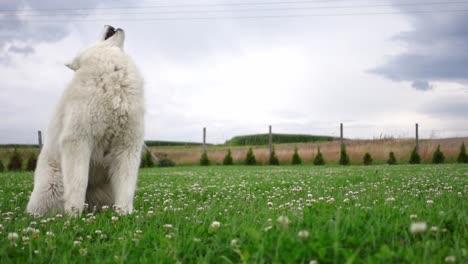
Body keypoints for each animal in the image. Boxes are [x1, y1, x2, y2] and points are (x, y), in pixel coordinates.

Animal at [27, 24, 144, 216]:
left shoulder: (127, 146)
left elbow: (126, 187)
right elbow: (78, 183)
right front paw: (74, 216)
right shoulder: (78, 141)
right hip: (54, 185)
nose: (107, 24)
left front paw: (124, 214)